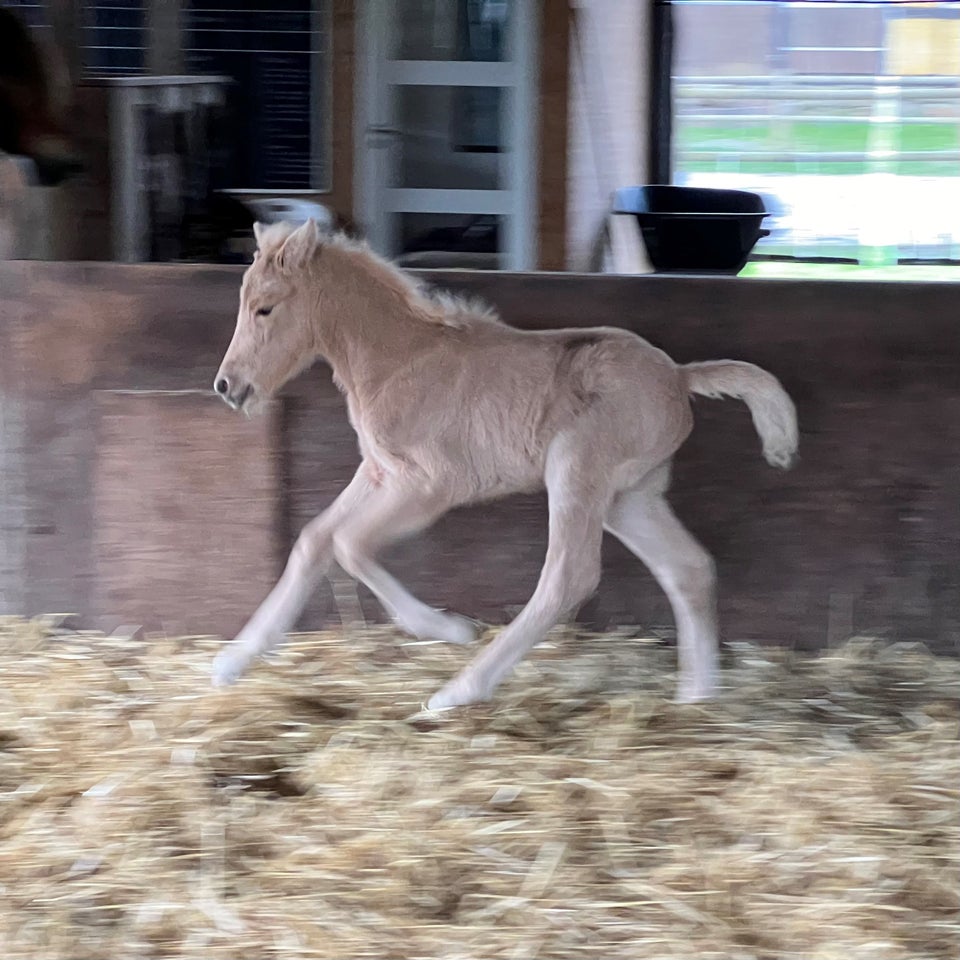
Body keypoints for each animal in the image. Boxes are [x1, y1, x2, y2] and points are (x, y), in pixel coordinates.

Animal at [214, 221, 800, 708]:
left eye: (265, 308)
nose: (227, 386)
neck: (400, 360)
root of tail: (679, 375)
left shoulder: (430, 486)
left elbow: (349, 545)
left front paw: (450, 629)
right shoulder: (380, 473)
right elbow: (314, 540)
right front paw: (230, 663)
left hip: (575, 471)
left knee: (568, 576)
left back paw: (459, 691)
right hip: (628, 497)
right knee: (688, 568)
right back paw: (697, 698)